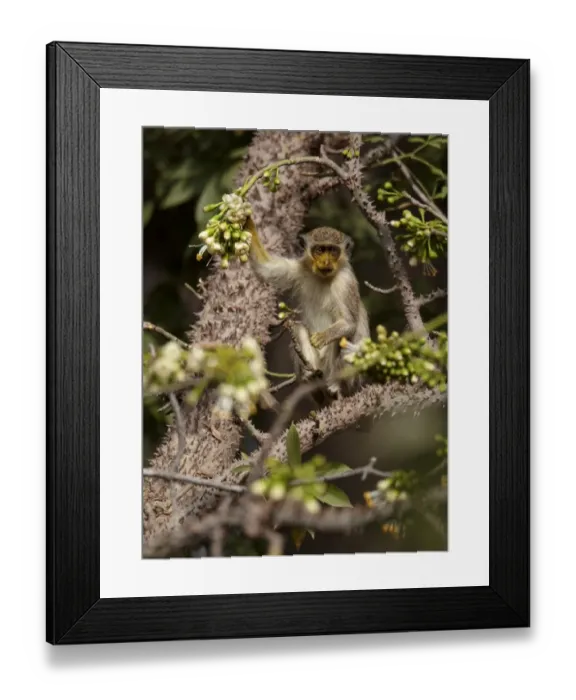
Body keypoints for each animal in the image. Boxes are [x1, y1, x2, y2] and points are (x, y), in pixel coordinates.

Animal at [246, 219, 369, 399]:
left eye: (333, 251)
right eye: (320, 250)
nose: (326, 262)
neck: (323, 278)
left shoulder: (346, 283)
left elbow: (349, 323)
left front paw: (323, 336)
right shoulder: (299, 268)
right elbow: (265, 268)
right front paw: (245, 221)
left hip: (351, 377)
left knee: (342, 339)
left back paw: (335, 386)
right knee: (299, 328)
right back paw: (309, 373)